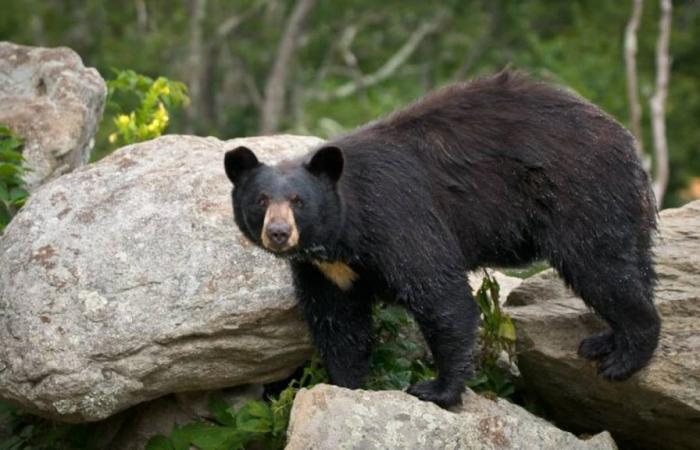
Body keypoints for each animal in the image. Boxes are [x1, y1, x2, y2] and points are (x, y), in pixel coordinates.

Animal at [224, 70, 660, 408]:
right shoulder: (324, 269)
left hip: (579, 194)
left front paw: (437, 389)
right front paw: (347, 384)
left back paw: (624, 356)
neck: (343, 234)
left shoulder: (398, 218)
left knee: (600, 268)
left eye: (298, 201)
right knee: (632, 264)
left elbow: (440, 295)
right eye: (261, 200)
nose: (279, 233)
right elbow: (338, 322)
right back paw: (605, 340)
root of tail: (626, 140)